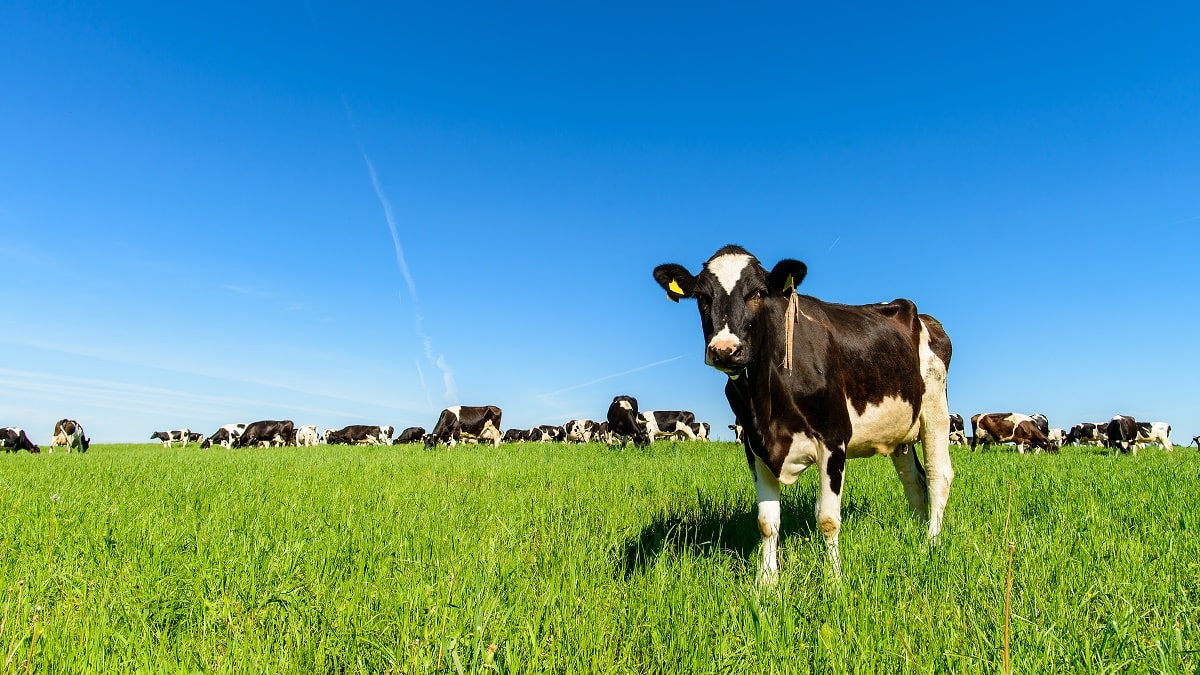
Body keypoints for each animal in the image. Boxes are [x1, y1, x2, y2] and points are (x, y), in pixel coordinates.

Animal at [654, 245, 953, 580]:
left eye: (758, 293)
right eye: (702, 297)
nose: (725, 350)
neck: (765, 402)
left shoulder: (834, 438)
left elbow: (828, 519)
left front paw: (834, 579)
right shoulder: (754, 446)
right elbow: (767, 521)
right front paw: (766, 581)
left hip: (936, 408)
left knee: (938, 476)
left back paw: (930, 543)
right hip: (901, 431)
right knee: (913, 481)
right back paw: (916, 533)